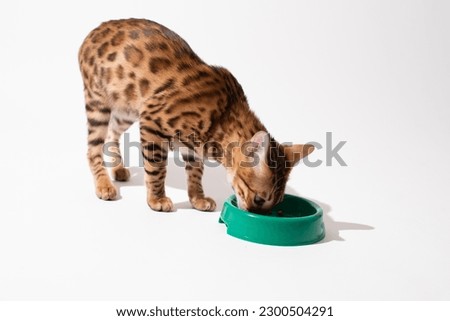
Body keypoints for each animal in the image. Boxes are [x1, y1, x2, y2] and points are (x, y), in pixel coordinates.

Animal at [78, 18, 312, 212]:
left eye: (276, 204)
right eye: (259, 200)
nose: (256, 214)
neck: (225, 112)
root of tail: (95, 30)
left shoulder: (193, 147)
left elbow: (195, 174)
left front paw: (197, 198)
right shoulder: (152, 122)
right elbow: (156, 168)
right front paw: (156, 199)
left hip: (126, 110)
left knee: (112, 134)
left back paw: (117, 169)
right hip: (98, 103)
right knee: (92, 148)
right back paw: (104, 184)